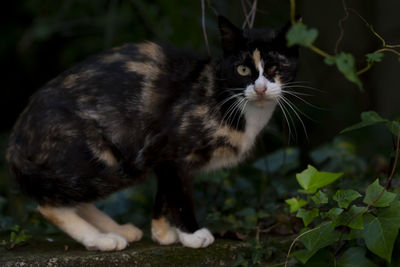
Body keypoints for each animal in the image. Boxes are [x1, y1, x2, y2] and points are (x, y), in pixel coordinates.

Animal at [5, 16, 296, 251]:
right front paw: (192, 235)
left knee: (75, 196)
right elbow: (179, 194)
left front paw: (162, 233)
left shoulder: (164, 159)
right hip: (96, 154)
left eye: (275, 69)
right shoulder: (167, 148)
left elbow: (164, 194)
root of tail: (15, 140)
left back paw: (117, 229)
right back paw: (101, 240)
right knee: (51, 204)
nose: (260, 88)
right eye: (243, 69)